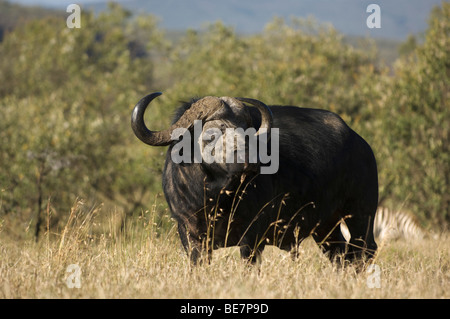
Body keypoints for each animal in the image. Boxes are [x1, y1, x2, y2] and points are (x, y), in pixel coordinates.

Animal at [132, 92, 378, 264]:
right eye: (211, 135)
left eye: (245, 132)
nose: (249, 160)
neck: (215, 197)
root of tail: (360, 143)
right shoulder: (188, 233)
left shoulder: (253, 234)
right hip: (326, 226)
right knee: (340, 253)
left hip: (361, 213)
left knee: (363, 250)